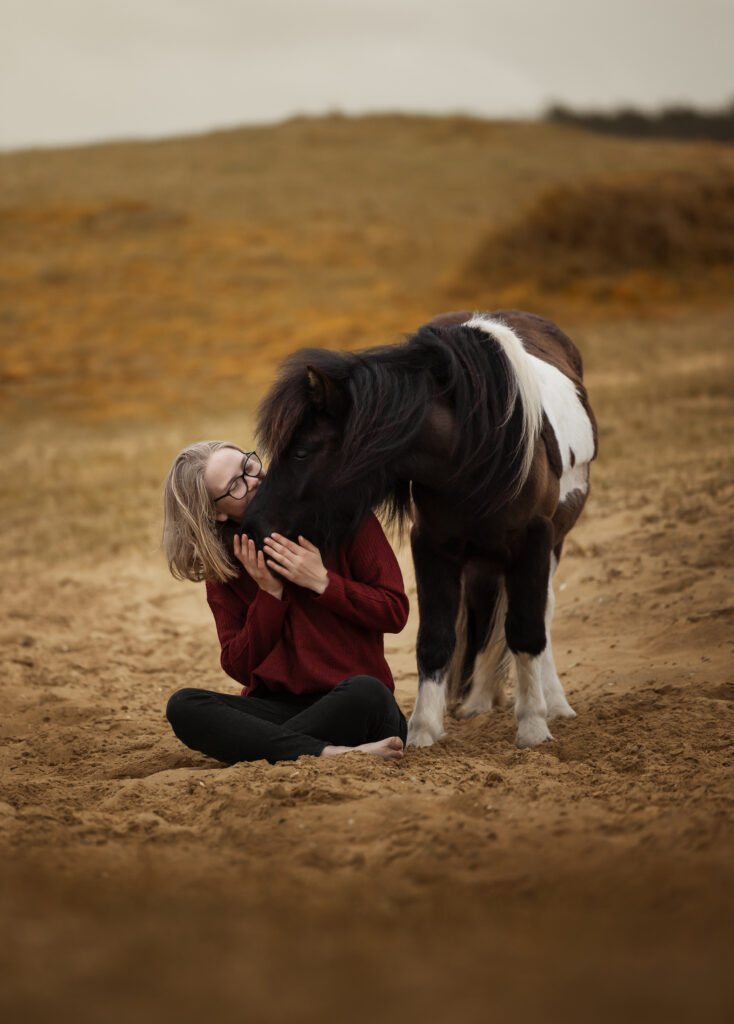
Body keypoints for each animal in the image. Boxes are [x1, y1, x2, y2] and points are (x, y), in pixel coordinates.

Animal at [241, 309, 597, 748]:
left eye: (303, 451)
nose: (252, 524)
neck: (479, 449)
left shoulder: (532, 540)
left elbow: (526, 629)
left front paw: (532, 727)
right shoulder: (431, 544)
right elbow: (436, 638)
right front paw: (423, 732)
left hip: (550, 545)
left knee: (539, 613)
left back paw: (555, 704)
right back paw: (479, 702)